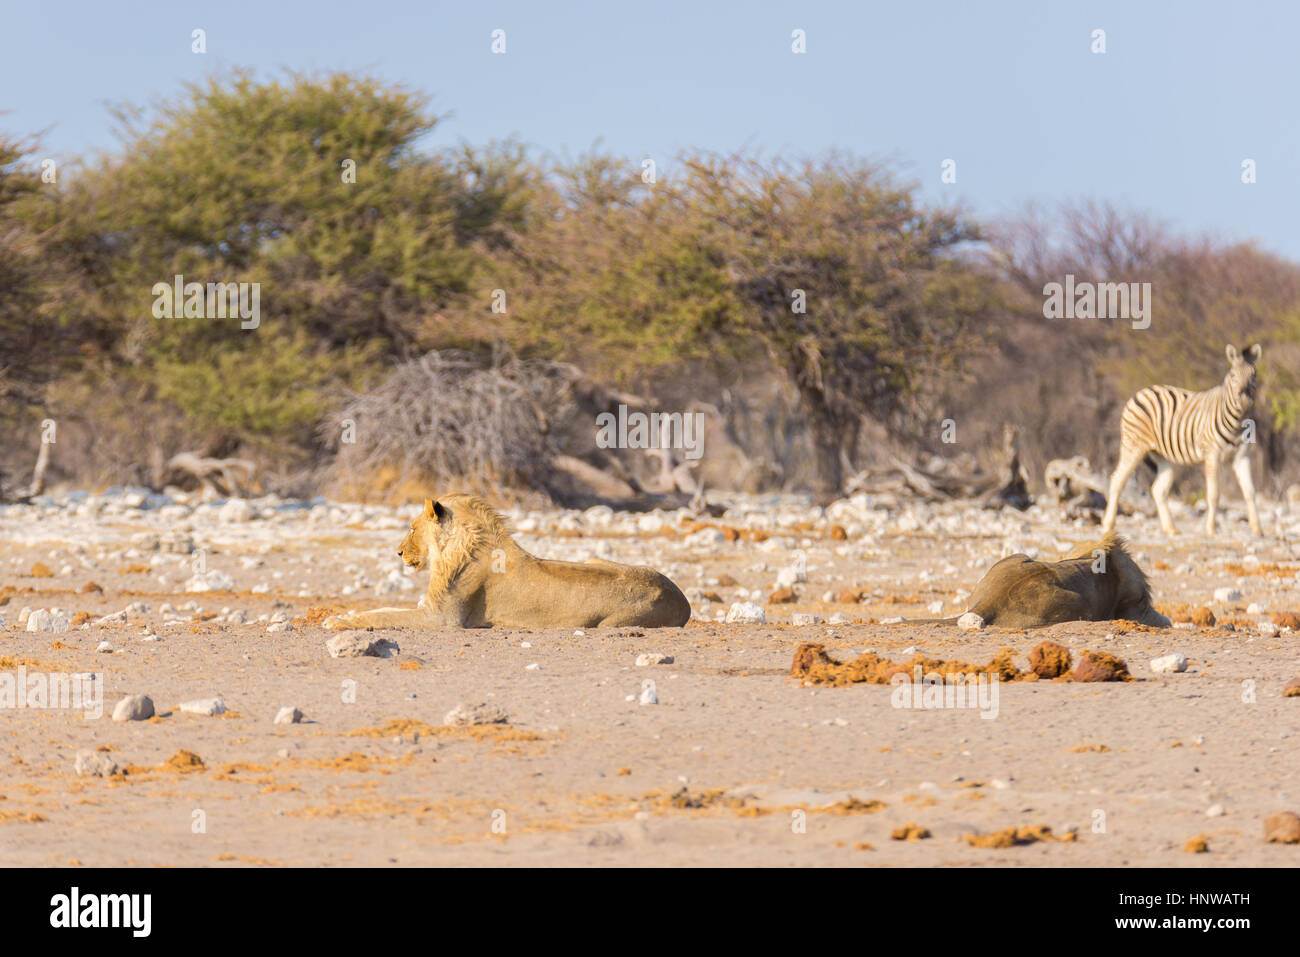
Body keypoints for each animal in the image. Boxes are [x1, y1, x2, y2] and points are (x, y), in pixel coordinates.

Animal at [323, 494, 691, 634]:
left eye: (412, 528)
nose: (398, 553)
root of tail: (684, 601)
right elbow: (384, 610)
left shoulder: (442, 618)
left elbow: (382, 614)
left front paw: (338, 619)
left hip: (613, 623)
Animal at [1102, 343, 1263, 538]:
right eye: (1233, 375)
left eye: (1253, 375)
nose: (1245, 398)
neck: (1238, 422)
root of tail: (1141, 392)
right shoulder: (1212, 454)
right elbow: (1214, 494)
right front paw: (1211, 529)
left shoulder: (1242, 456)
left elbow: (1250, 492)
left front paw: (1257, 529)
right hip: (1133, 446)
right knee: (1117, 480)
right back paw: (1108, 525)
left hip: (1160, 455)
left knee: (1158, 489)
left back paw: (1170, 529)